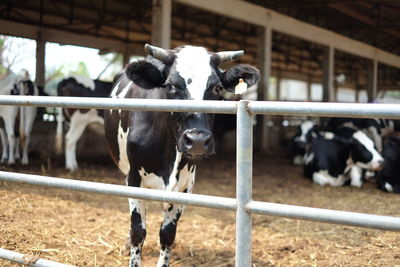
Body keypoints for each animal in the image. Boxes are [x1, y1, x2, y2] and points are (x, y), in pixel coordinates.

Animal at [103, 44, 260, 267]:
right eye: (170, 86)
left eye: (217, 88)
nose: (197, 140)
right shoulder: (133, 179)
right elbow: (138, 231)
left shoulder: (186, 184)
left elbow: (167, 233)